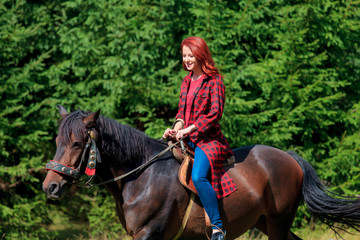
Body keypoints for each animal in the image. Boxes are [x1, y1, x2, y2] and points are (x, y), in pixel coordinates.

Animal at [43, 106, 360, 240]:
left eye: (76, 143)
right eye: (57, 141)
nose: (50, 187)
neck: (140, 178)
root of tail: (289, 157)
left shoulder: (148, 234)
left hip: (278, 222)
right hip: (266, 222)